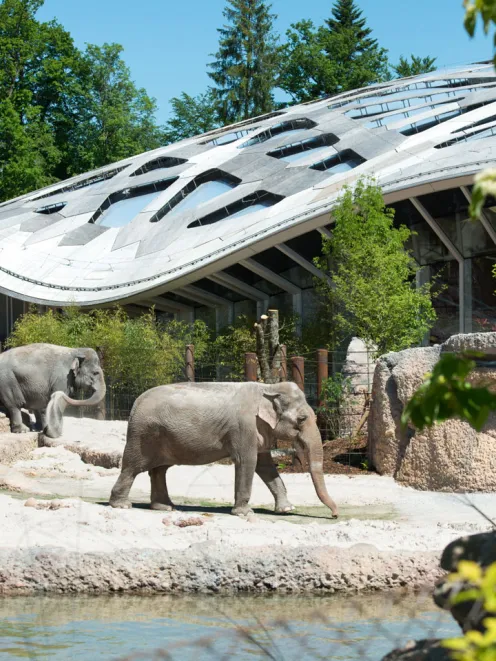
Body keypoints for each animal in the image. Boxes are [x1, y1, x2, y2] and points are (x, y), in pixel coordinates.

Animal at [109, 381, 338, 518]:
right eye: (302, 419)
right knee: (132, 467)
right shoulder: (244, 427)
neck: (268, 386)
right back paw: (122, 505)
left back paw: (165, 507)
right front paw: (244, 513)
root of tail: (136, 403)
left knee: (159, 470)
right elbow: (248, 462)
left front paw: (287, 509)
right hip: (143, 435)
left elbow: (266, 466)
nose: (334, 515)